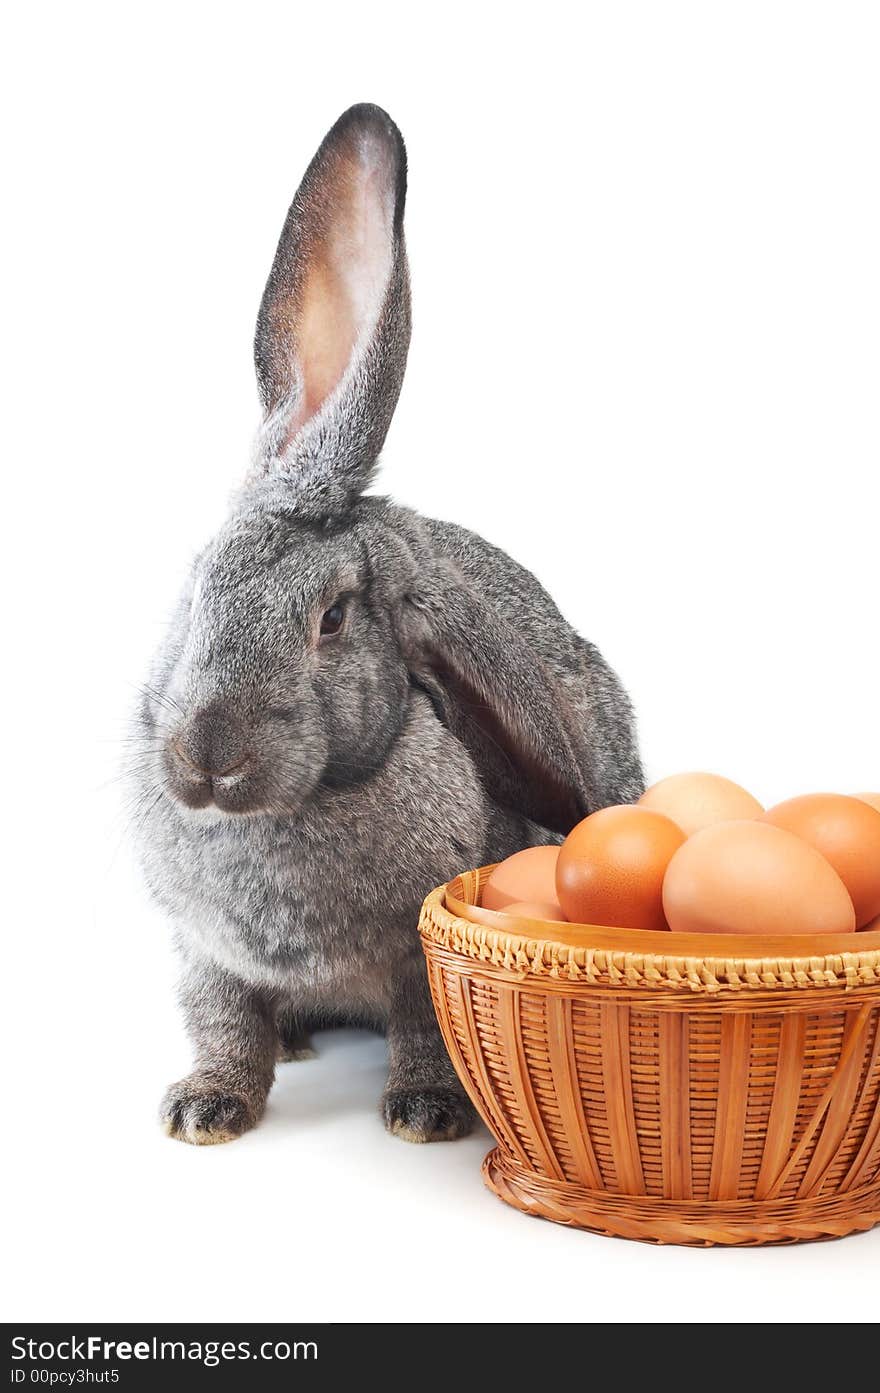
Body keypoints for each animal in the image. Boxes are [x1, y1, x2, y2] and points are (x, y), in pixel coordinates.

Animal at [132, 100, 640, 1142]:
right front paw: (205, 1109)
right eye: (199, 582)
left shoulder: (420, 956)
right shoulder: (205, 955)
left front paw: (424, 1113)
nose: (207, 757)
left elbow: (423, 1027)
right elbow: (223, 1023)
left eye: (331, 619)